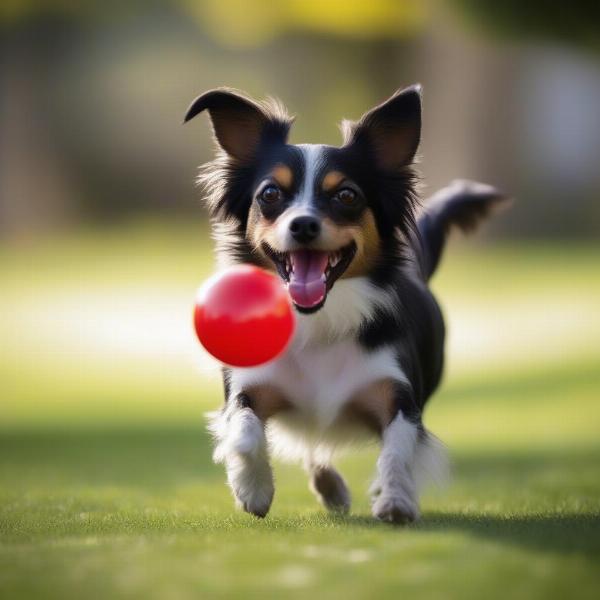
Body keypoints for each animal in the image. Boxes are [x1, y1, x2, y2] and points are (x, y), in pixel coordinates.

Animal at [183, 86, 506, 524]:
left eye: (347, 195)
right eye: (270, 194)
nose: (303, 224)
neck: (320, 318)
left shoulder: (399, 398)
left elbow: (398, 448)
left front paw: (395, 499)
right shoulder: (248, 386)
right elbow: (244, 429)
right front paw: (252, 488)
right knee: (310, 447)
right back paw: (329, 487)